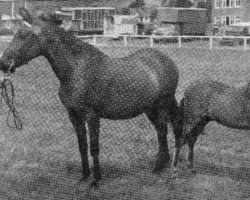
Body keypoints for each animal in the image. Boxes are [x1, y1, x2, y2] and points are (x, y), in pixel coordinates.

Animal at [0, 8, 181, 187]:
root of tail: (165, 60)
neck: (77, 70)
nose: (3, 63)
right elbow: (82, 146)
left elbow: (94, 147)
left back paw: (160, 166)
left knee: (164, 130)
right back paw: (161, 165)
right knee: (161, 131)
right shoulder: (74, 115)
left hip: (163, 104)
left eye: (23, 35)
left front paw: (96, 180)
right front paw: (84, 175)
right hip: (150, 109)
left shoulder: (92, 116)